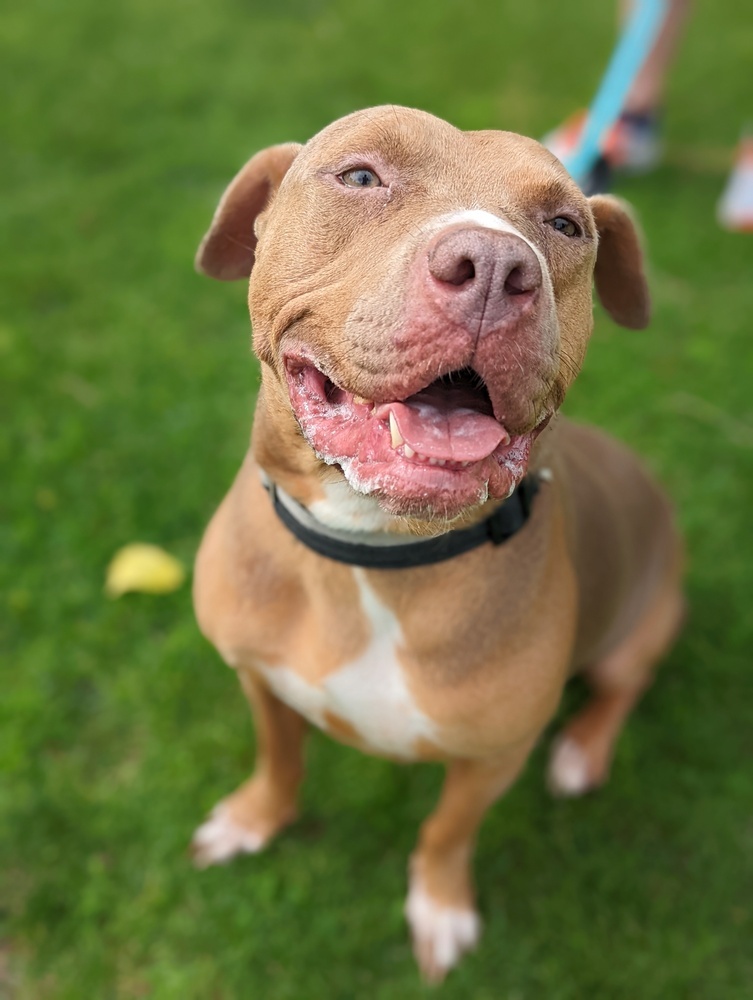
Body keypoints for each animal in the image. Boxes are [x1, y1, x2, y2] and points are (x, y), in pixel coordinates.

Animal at [190, 106, 684, 982]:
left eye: (565, 225)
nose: (493, 265)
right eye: (359, 175)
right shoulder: (257, 677)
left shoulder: (493, 756)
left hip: (645, 619)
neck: (370, 551)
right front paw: (253, 820)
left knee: (624, 684)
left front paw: (441, 906)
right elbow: (279, 759)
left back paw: (582, 751)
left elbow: (446, 831)